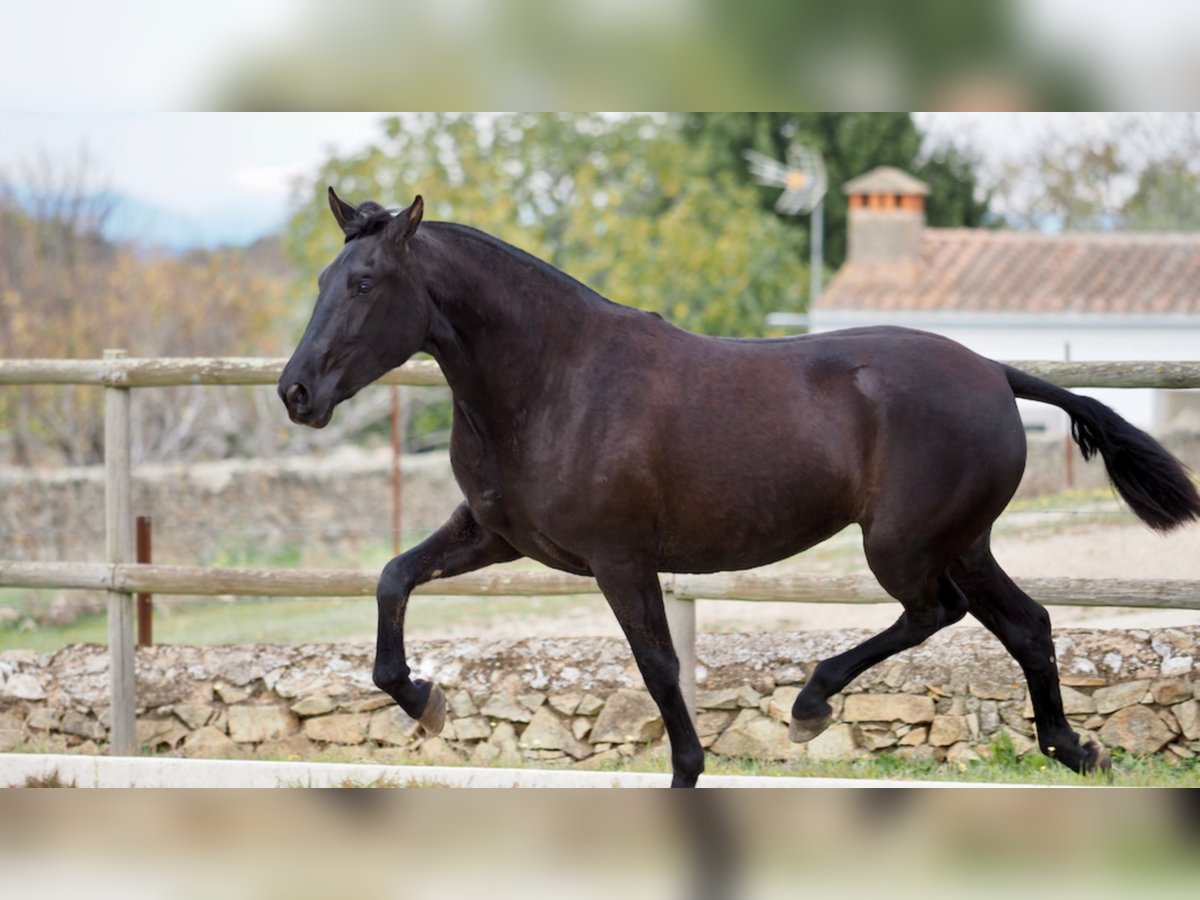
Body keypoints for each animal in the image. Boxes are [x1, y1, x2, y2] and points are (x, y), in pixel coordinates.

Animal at [283, 192, 1200, 787]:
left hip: (904, 544)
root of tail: (995, 372)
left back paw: (812, 703)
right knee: (1027, 624)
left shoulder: (620, 559)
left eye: (364, 283)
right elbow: (392, 579)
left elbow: (659, 668)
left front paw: (689, 773)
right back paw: (1075, 750)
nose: (296, 392)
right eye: (322, 281)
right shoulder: (496, 535)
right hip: (964, 542)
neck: (554, 381)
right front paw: (425, 702)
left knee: (936, 612)